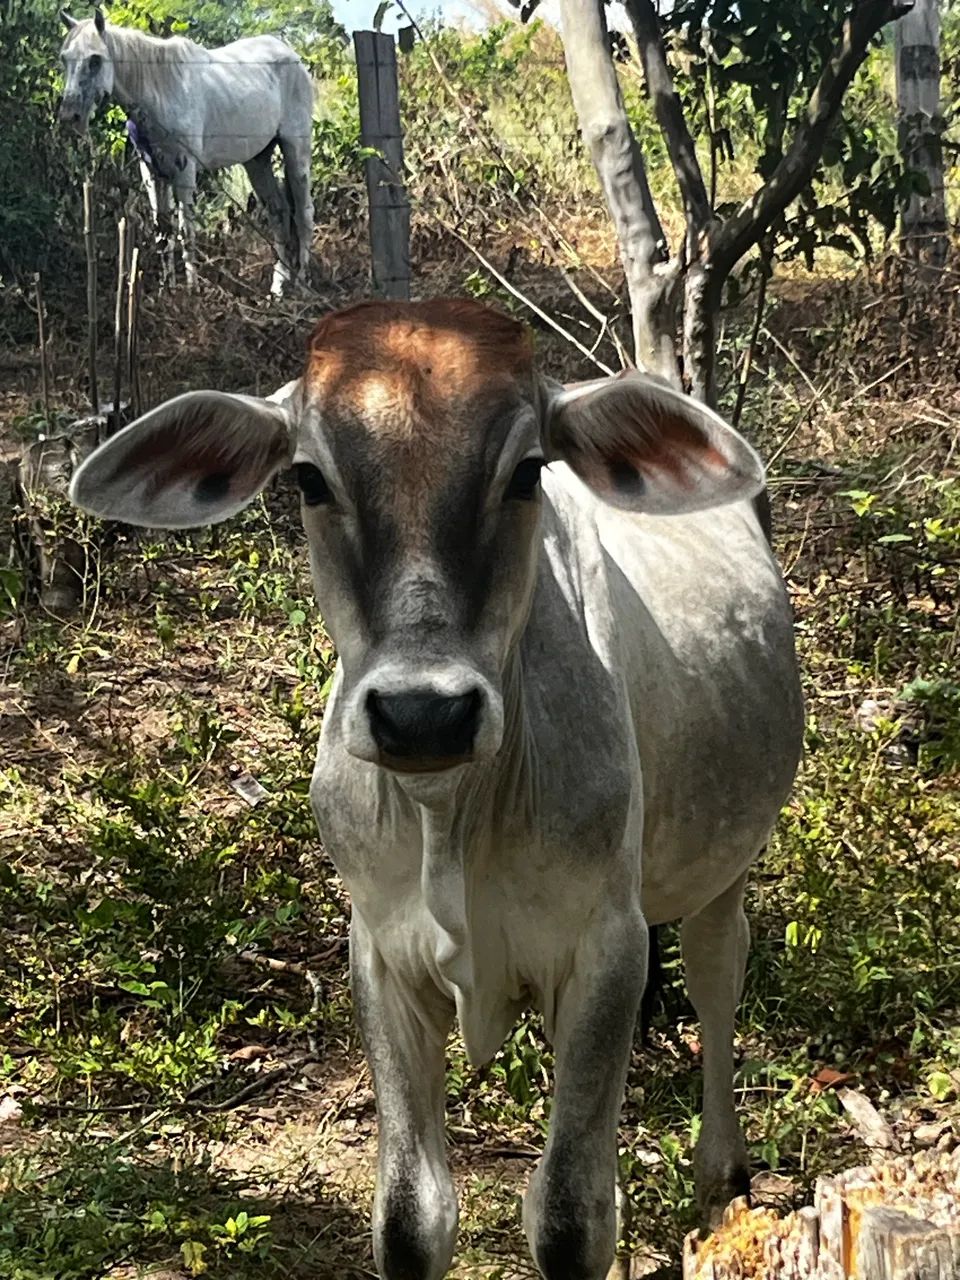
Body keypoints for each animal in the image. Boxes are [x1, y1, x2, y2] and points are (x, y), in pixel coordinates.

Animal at [69, 298, 804, 1280]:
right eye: (308, 478)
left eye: (528, 470)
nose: (423, 715)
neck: (449, 812)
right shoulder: (382, 955)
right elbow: (412, 1218)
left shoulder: (605, 950)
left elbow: (570, 1217)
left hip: (723, 869)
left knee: (719, 981)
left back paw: (723, 1175)